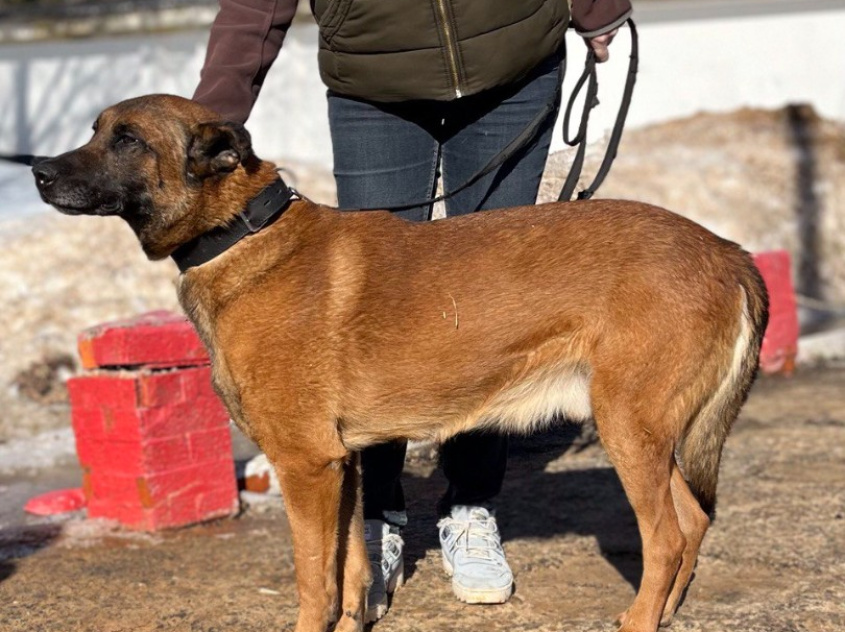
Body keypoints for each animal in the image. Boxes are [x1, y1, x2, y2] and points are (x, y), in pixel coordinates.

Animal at [34, 94, 764, 632]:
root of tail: (726, 251)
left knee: (666, 538)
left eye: (127, 139)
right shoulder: (344, 464)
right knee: (693, 523)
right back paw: (665, 611)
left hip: (628, 429)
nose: (38, 170)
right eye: (96, 129)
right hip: (651, 436)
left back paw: (641, 618)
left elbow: (313, 579)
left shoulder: (306, 466)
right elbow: (352, 568)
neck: (241, 233)